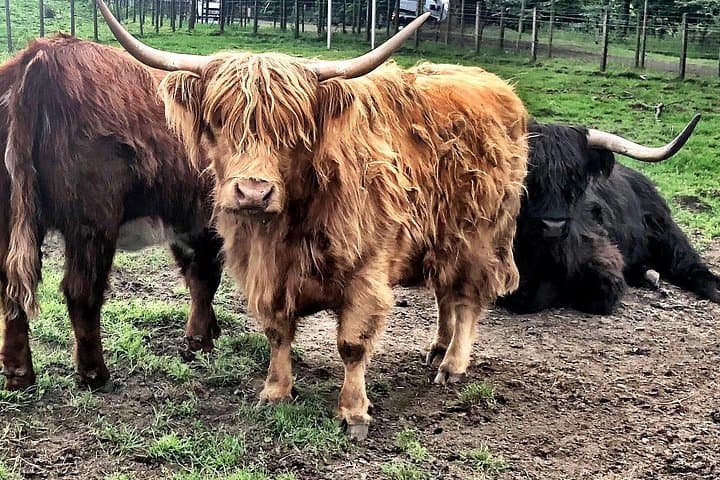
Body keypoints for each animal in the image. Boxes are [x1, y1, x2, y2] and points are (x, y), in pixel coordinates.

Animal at [0, 35, 224, 391]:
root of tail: (42, 54)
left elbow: (193, 275)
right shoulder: (208, 220)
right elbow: (205, 277)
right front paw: (200, 341)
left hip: (9, 214)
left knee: (10, 288)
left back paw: (19, 374)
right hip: (93, 221)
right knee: (81, 291)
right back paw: (94, 373)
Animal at [97, 2, 529, 440]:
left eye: (292, 128)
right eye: (219, 121)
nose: (252, 193)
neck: (290, 224)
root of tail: (496, 85)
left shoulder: (367, 271)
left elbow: (352, 344)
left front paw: (354, 412)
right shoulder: (266, 270)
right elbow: (277, 332)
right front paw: (276, 391)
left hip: (478, 235)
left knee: (467, 298)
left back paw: (452, 364)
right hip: (441, 237)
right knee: (444, 293)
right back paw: (438, 347)